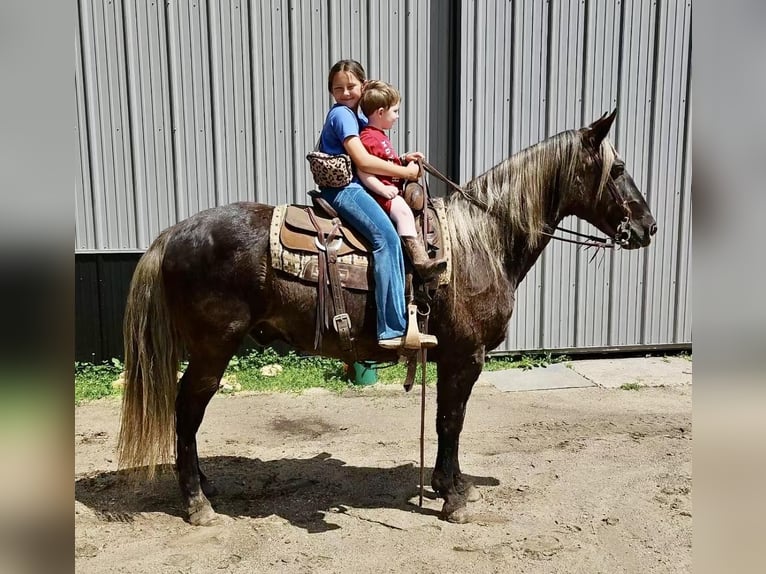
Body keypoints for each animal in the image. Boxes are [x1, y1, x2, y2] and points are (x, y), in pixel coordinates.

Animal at [117, 110, 656, 528]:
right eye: (617, 167)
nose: (648, 226)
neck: (482, 241)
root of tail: (173, 233)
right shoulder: (466, 356)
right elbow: (451, 420)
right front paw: (453, 498)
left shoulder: (451, 358)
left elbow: (446, 422)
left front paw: (449, 484)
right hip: (213, 349)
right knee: (187, 410)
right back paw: (196, 502)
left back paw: (203, 483)